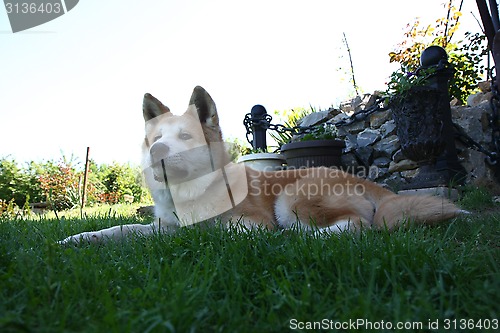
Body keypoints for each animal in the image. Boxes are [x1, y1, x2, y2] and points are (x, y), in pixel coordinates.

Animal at [60, 84, 466, 243]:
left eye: (186, 137)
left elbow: (217, 232)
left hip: (292, 199)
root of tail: (373, 185)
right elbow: (119, 229)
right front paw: (77, 239)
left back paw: (294, 238)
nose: (158, 151)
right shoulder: (161, 227)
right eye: (156, 138)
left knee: (356, 225)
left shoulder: (248, 223)